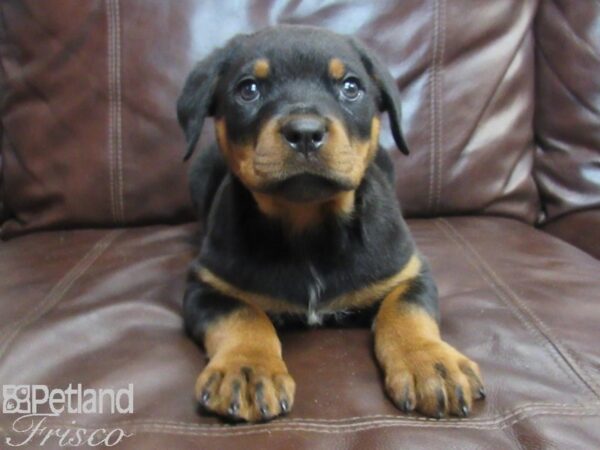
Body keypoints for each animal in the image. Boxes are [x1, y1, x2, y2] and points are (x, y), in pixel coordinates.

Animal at [176, 24, 486, 422]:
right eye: (249, 89)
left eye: (351, 87)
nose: (305, 132)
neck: (308, 225)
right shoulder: (208, 283)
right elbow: (243, 314)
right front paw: (246, 369)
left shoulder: (408, 271)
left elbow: (407, 312)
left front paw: (431, 364)